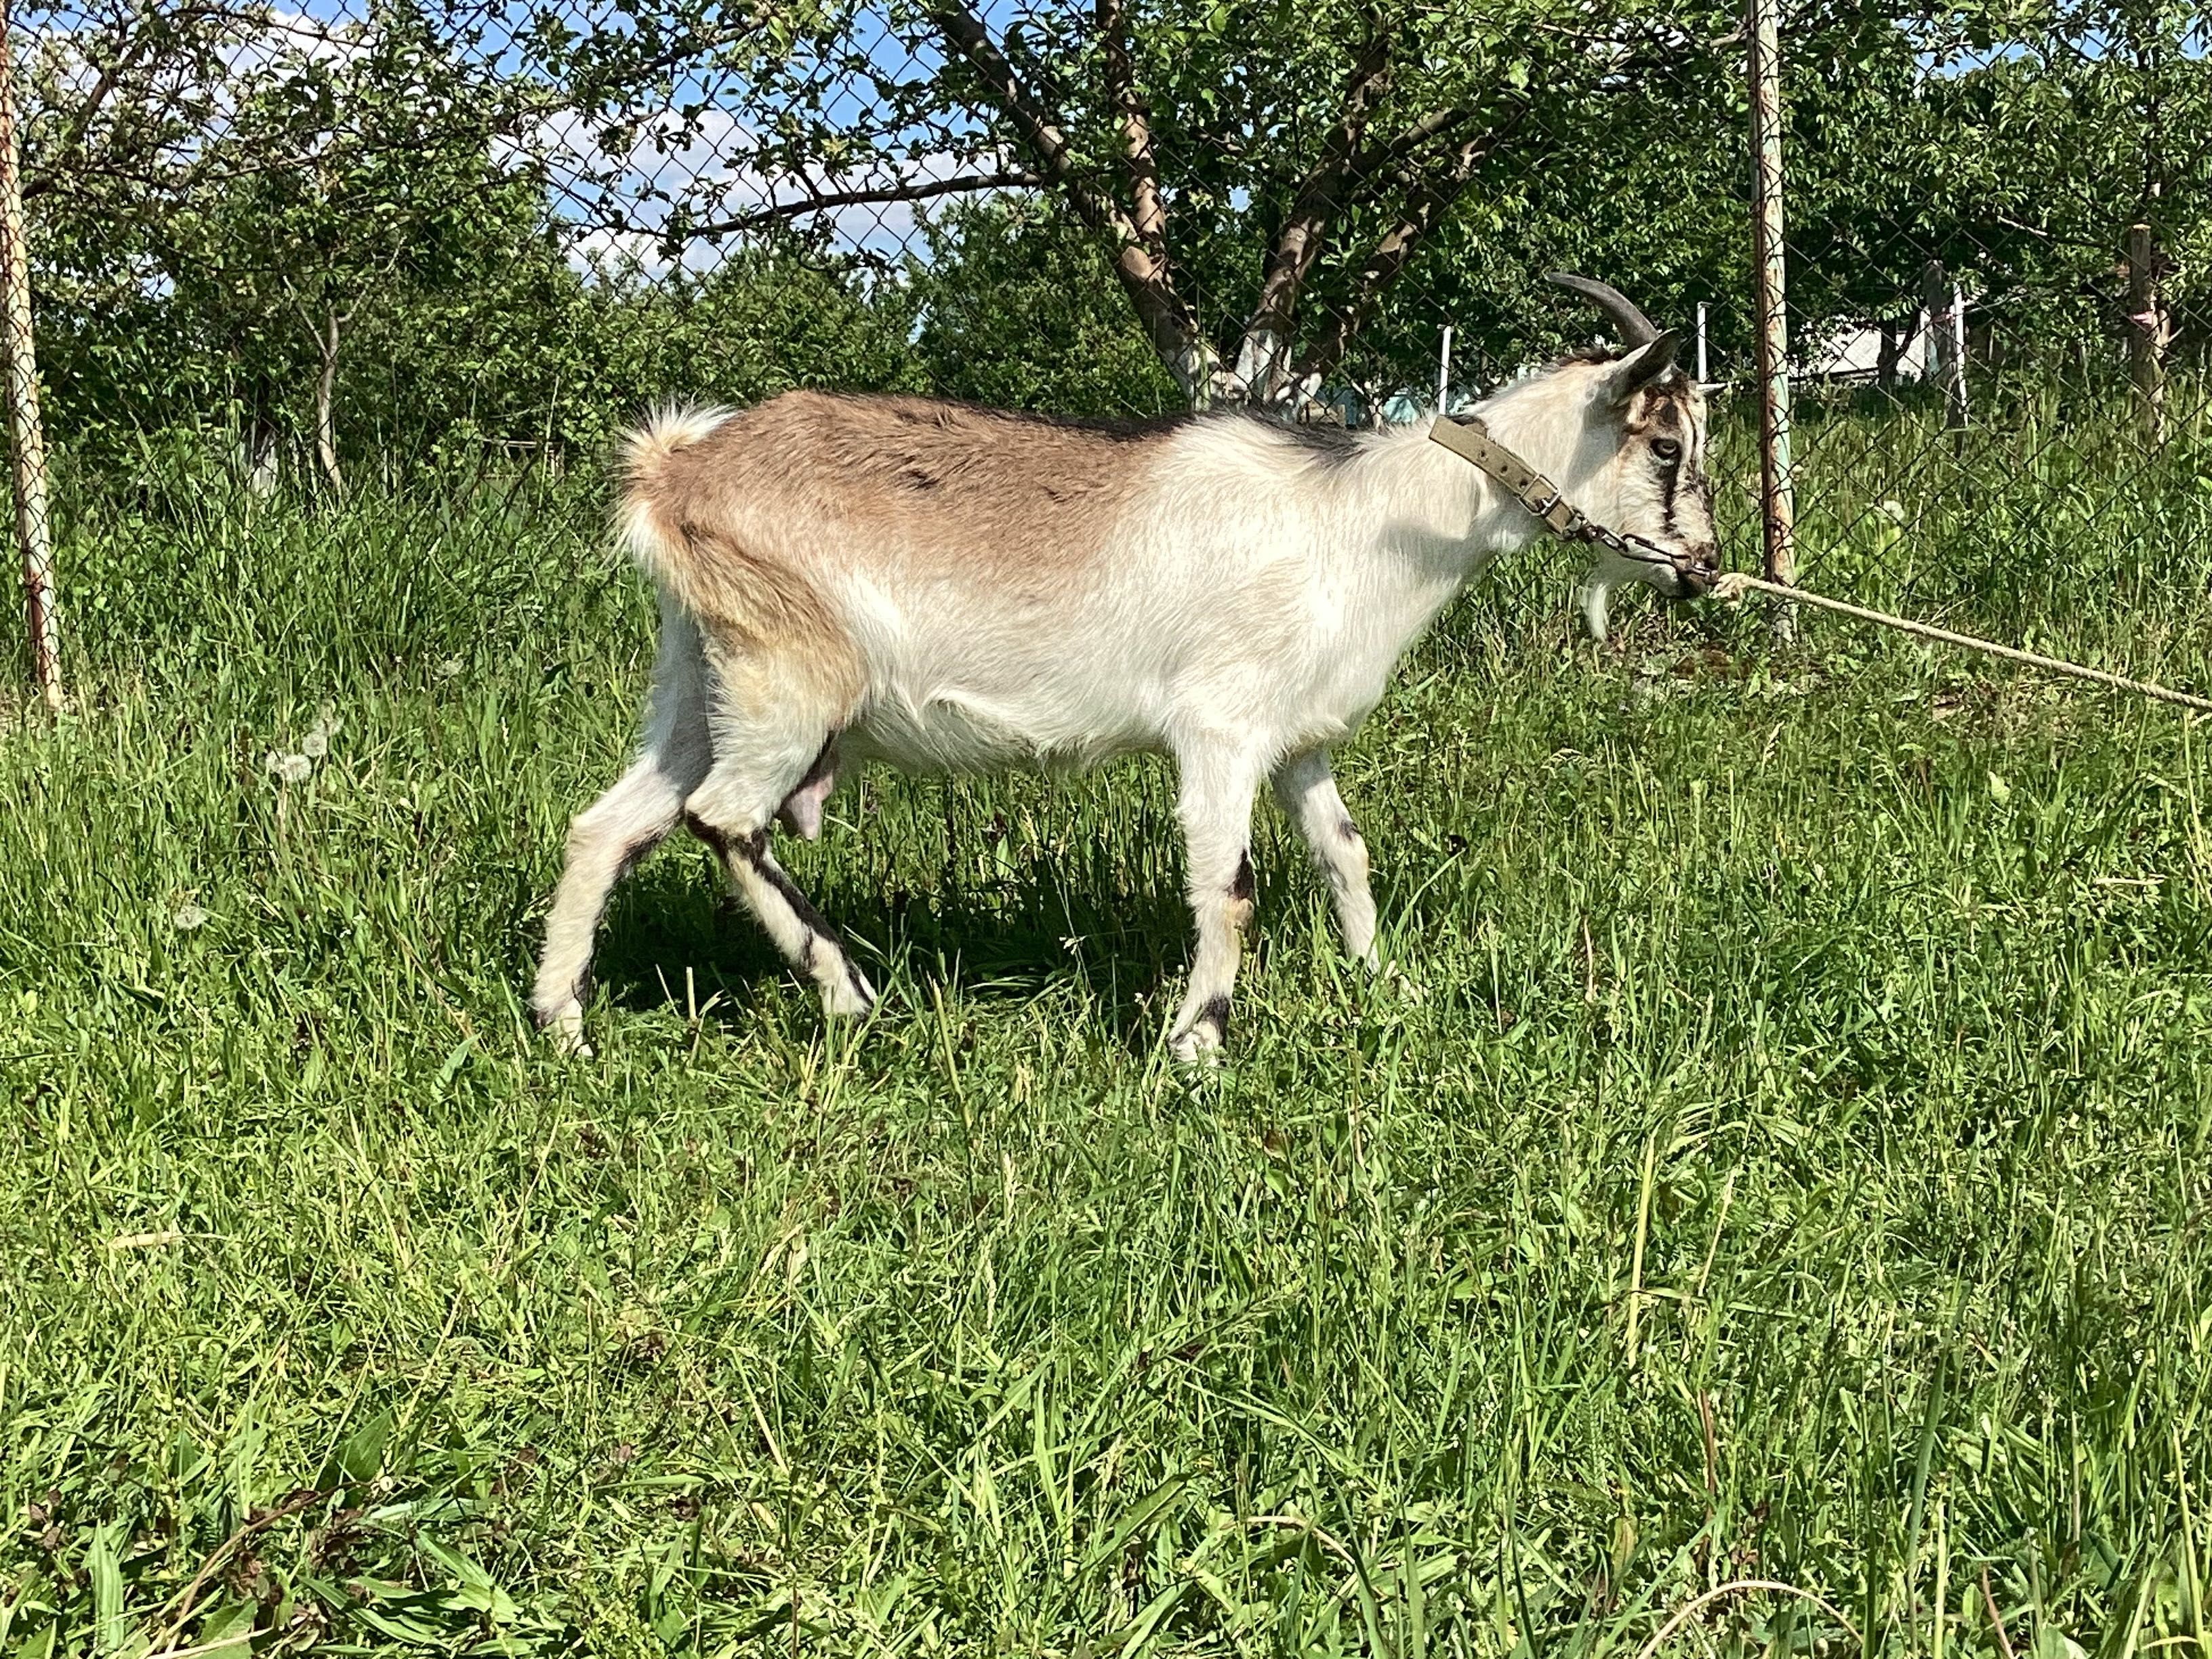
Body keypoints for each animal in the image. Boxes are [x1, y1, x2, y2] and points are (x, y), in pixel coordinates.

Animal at [531, 276, 1707, 1066]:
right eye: (1666, 447)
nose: (1701, 569)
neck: (1361, 521)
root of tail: (676, 468)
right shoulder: (1221, 730)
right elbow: (1229, 886)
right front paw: (1198, 1047)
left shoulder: (1298, 739)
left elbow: (1345, 855)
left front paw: (1384, 986)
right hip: (789, 676)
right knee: (724, 818)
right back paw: (849, 992)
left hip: (700, 680)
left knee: (611, 824)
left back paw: (564, 1026)